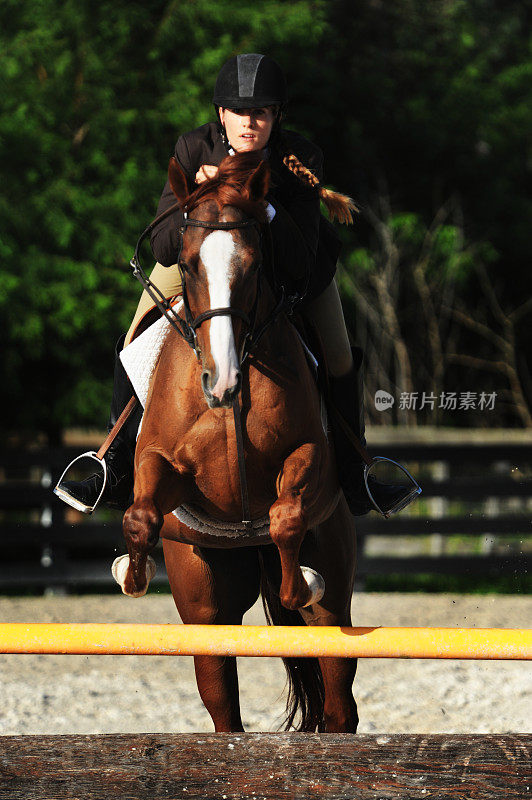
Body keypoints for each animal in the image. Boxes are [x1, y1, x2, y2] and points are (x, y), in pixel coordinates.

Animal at [115, 153, 360, 736]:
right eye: (186, 265)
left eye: (253, 267)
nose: (220, 382)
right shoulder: (162, 465)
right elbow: (140, 515)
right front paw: (132, 574)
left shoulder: (308, 454)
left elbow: (287, 517)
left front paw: (301, 583)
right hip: (207, 606)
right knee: (222, 701)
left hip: (334, 592)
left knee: (338, 698)